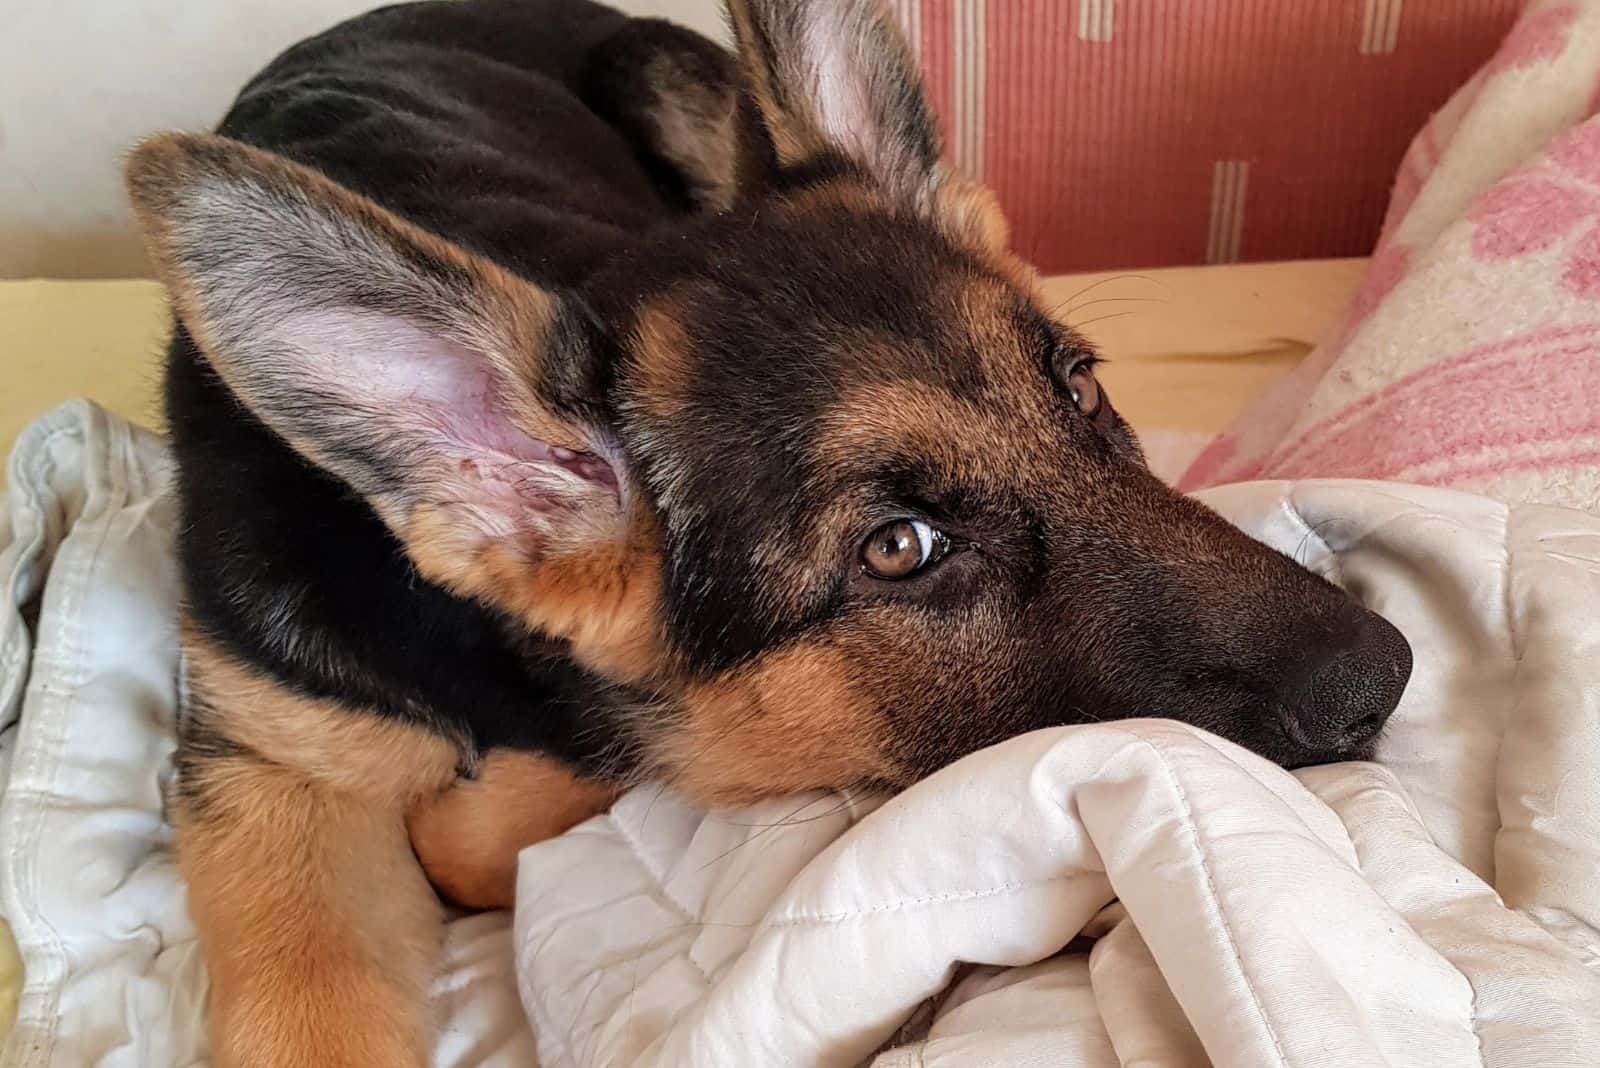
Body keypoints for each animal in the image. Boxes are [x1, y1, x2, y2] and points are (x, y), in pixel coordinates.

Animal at [124, 0, 1408, 1061]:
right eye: (898, 548)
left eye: (1081, 389)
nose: (1384, 679)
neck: (495, 663)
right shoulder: (269, 774)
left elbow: (535, 806)